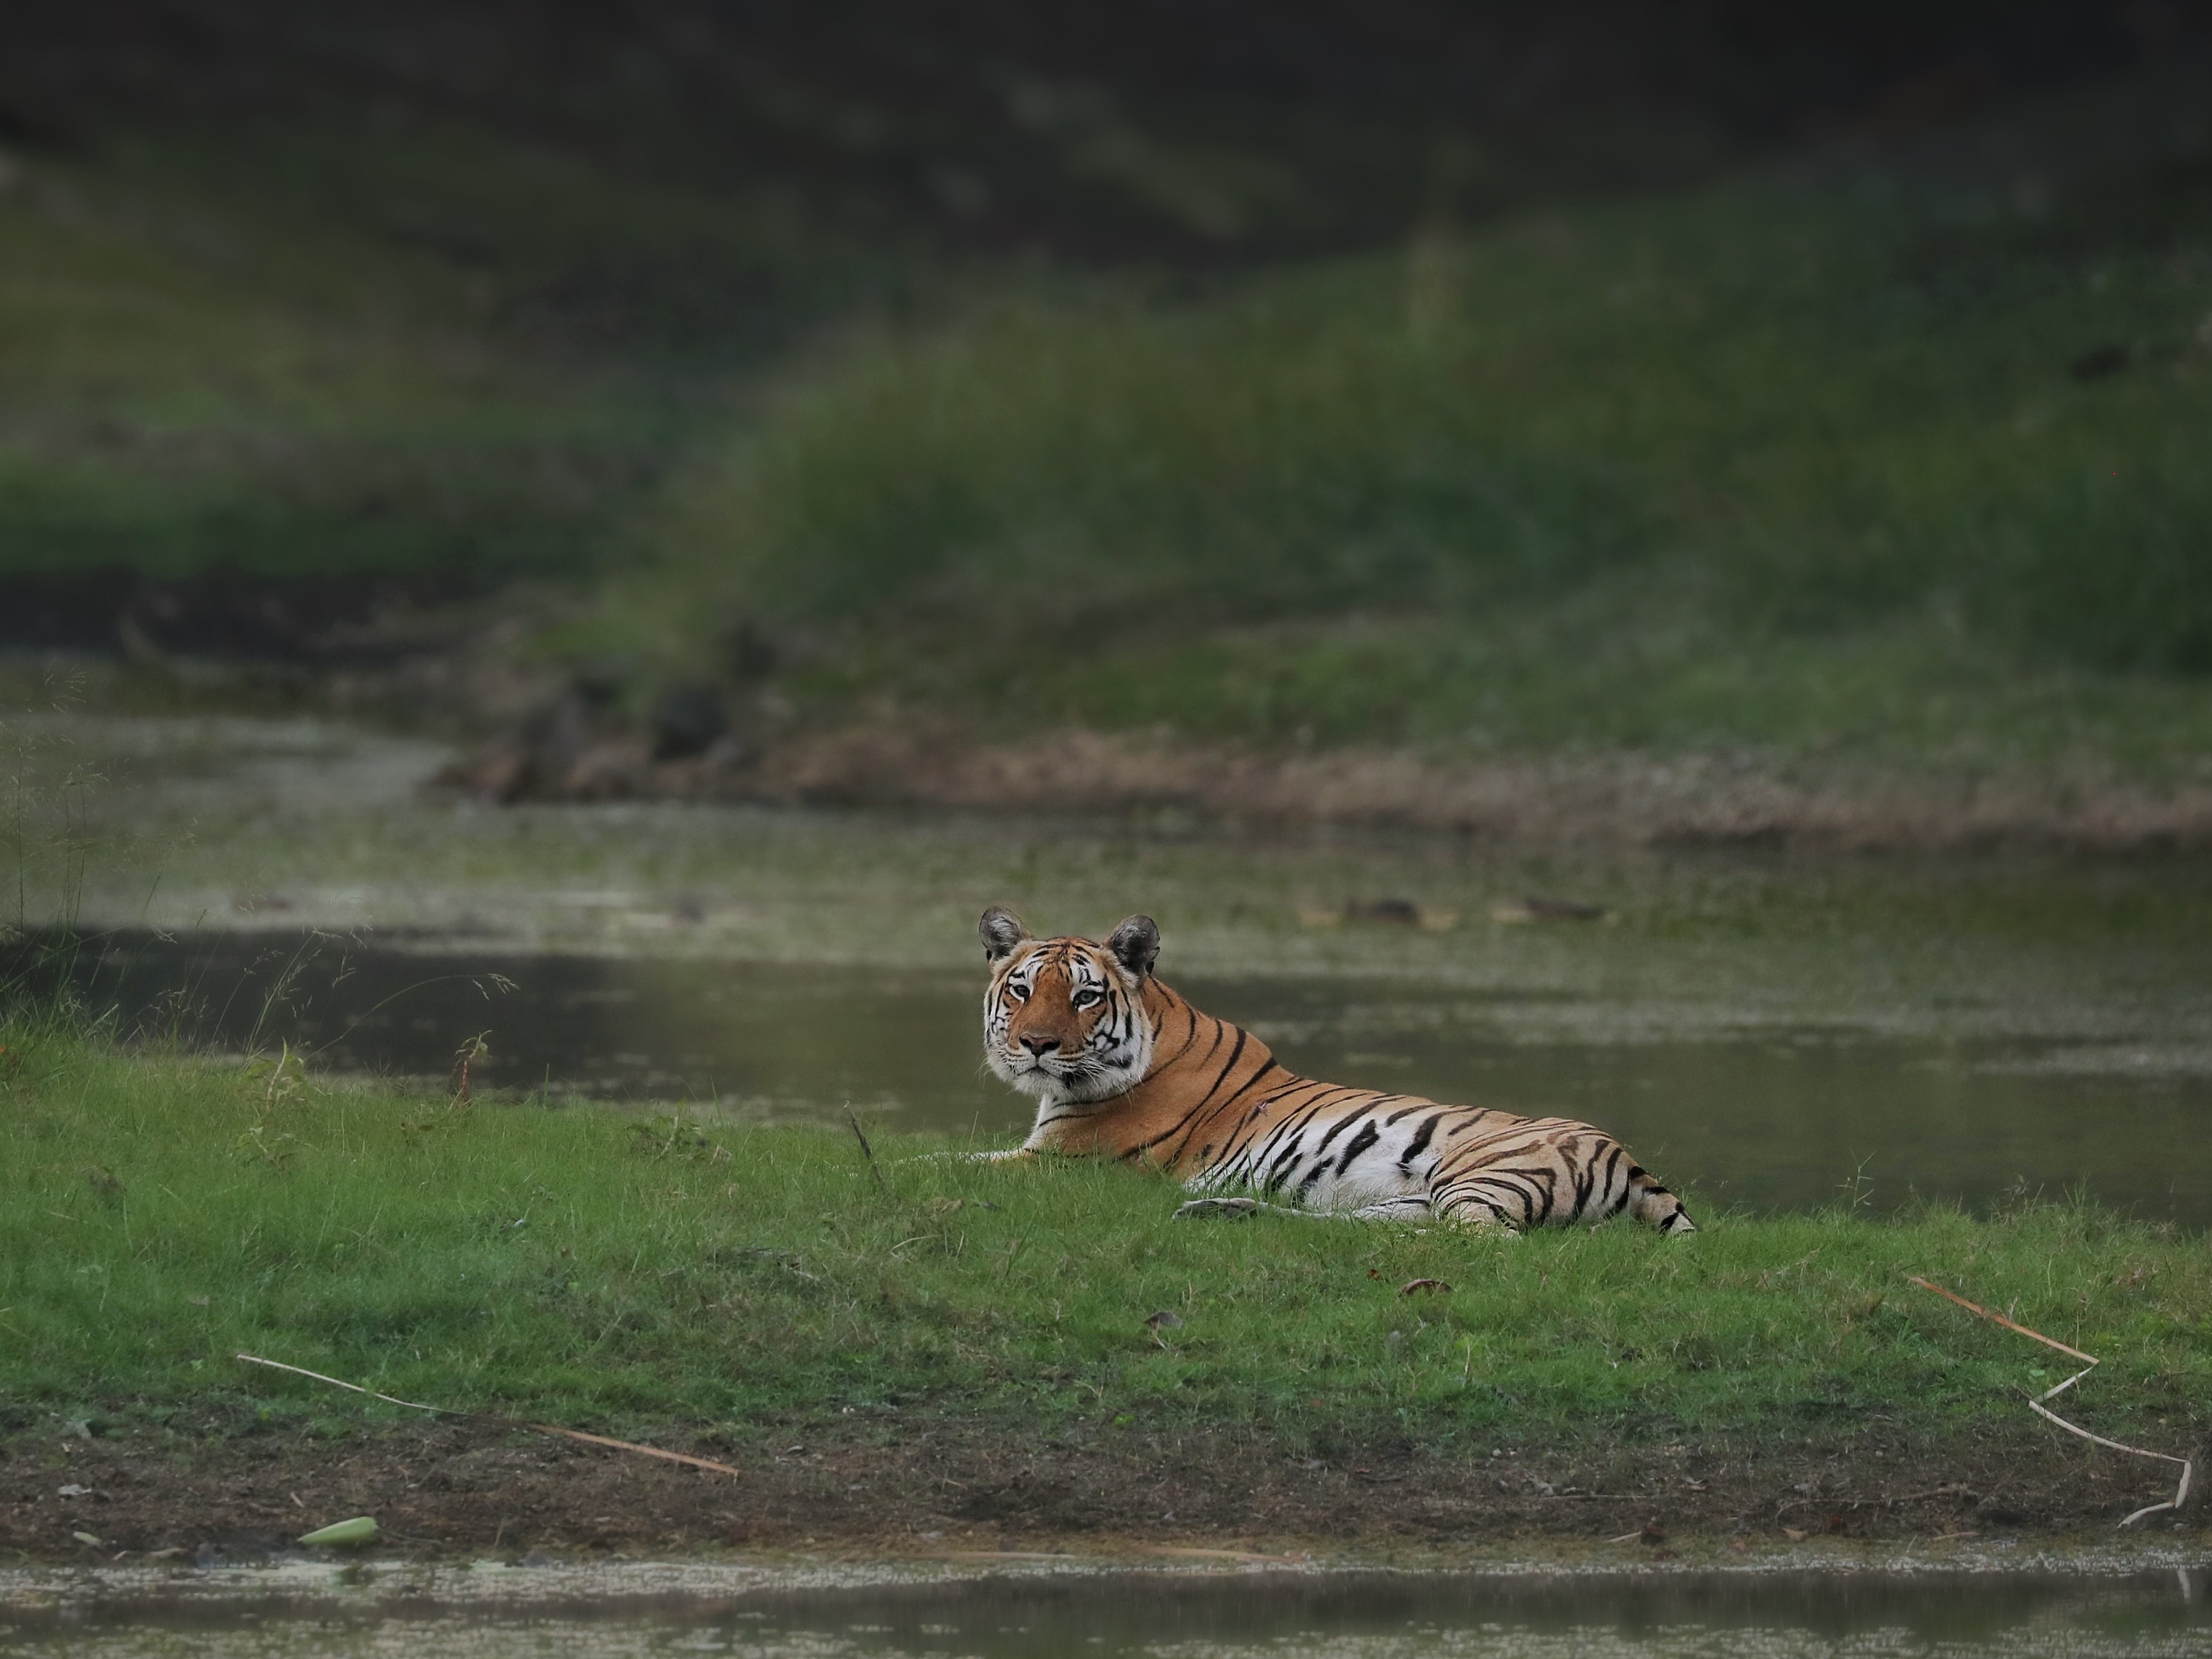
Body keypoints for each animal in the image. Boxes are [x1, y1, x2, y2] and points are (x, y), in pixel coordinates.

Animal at [976, 906, 1696, 1235]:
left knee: (1478, 1242)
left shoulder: (1061, 1159)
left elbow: (955, 1163)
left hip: (1479, 1177)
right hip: (1407, 1198)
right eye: (1021, 989)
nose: (1034, 1044)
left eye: (1084, 996)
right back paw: (1220, 1209)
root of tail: (1627, 1157)